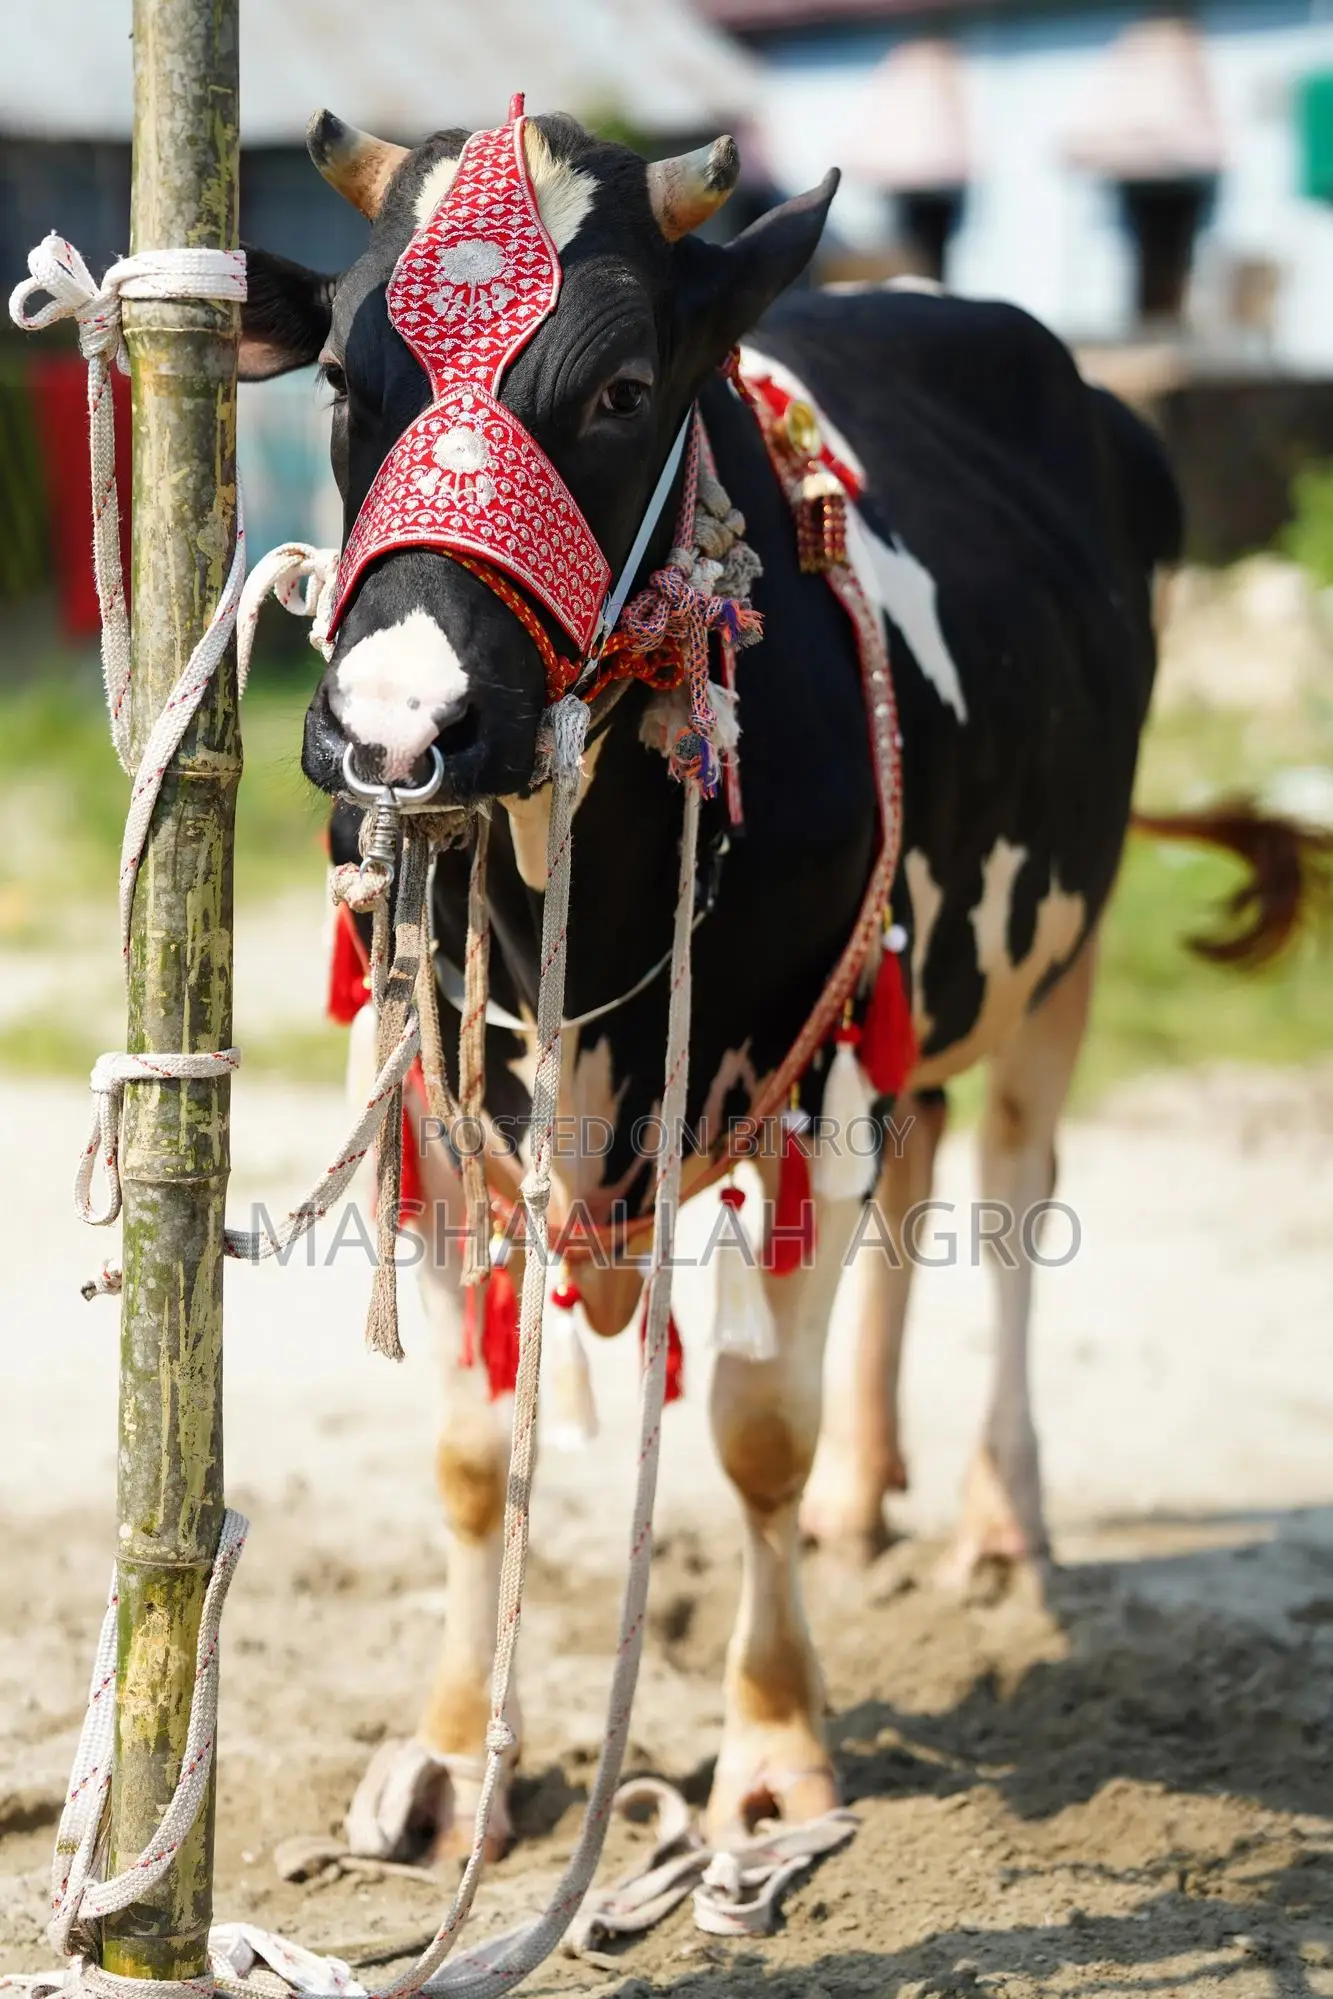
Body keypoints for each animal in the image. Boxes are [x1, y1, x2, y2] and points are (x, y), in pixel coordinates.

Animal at [237, 109, 1323, 1864]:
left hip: (1060, 944)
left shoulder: (806, 1071)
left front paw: (774, 1747)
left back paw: (996, 1517)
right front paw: (456, 1751)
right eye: (340, 376)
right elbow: (468, 1446)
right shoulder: (429, 1086)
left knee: (1010, 1190)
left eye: (622, 390)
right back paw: (866, 1496)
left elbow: (753, 1427)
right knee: (923, 1174)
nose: (398, 731)